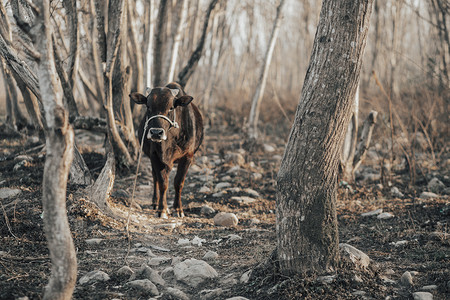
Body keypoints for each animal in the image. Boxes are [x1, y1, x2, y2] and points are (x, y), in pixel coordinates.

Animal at [128, 82, 202, 218]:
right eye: (148, 106)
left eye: (171, 107)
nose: (156, 133)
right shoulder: (155, 156)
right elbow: (163, 183)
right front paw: (162, 209)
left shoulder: (187, 157)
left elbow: (178, 183)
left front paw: (178, 209)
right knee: (155, 177)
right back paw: (156, 203)